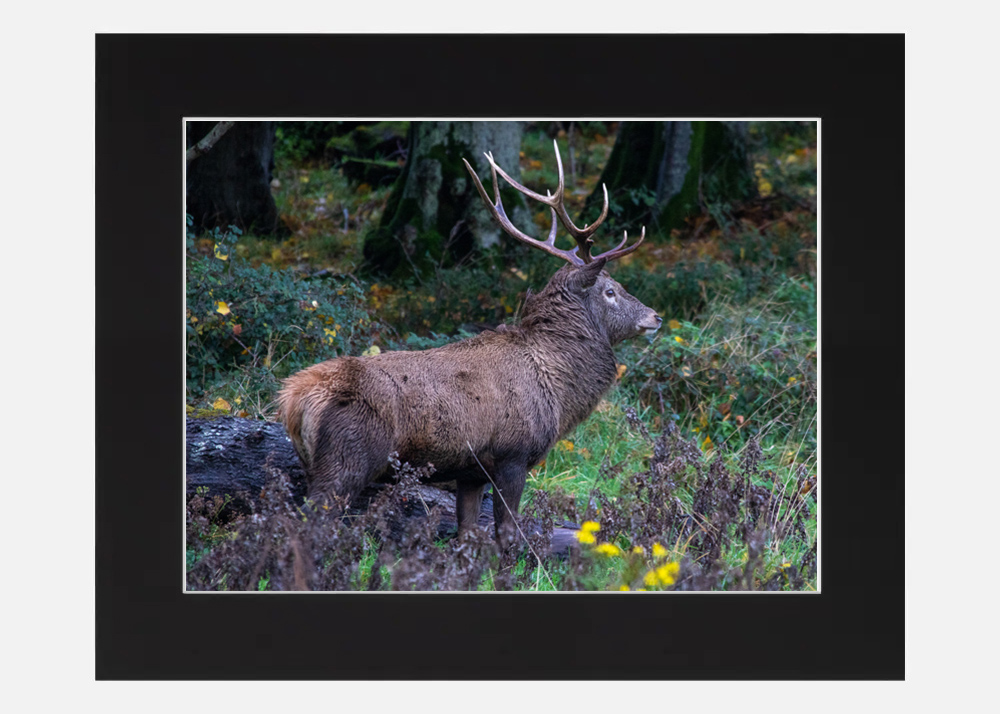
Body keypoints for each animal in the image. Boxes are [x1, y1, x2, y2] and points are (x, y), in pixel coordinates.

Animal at [277, 141, 662, 548]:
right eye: (610, 291)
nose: (655, 316)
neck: (557, 391)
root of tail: (293, 401)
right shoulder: (512, 455)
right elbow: (507, 534)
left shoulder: (471, 472)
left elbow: (467, 532)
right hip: (346, 459)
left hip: (314, 462)